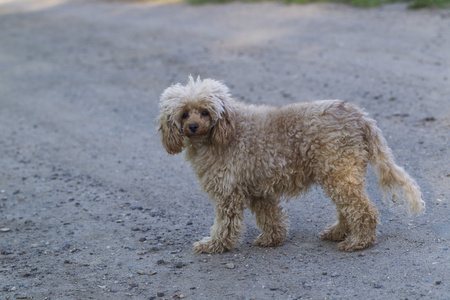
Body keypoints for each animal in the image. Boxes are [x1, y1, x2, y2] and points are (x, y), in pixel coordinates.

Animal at [158, 77, 426, 253]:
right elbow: (271, 217)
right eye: (184, 114)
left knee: (364, 210)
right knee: (348, 208)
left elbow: (225, 224)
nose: (193, 127)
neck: (225, 132)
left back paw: (358, 241)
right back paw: (338, 232)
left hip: (339, 171)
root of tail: (360, 116)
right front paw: (272, 240)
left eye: (205, 112)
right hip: (339, 173)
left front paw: (214, 245)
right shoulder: (258, 189)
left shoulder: (228, 192)